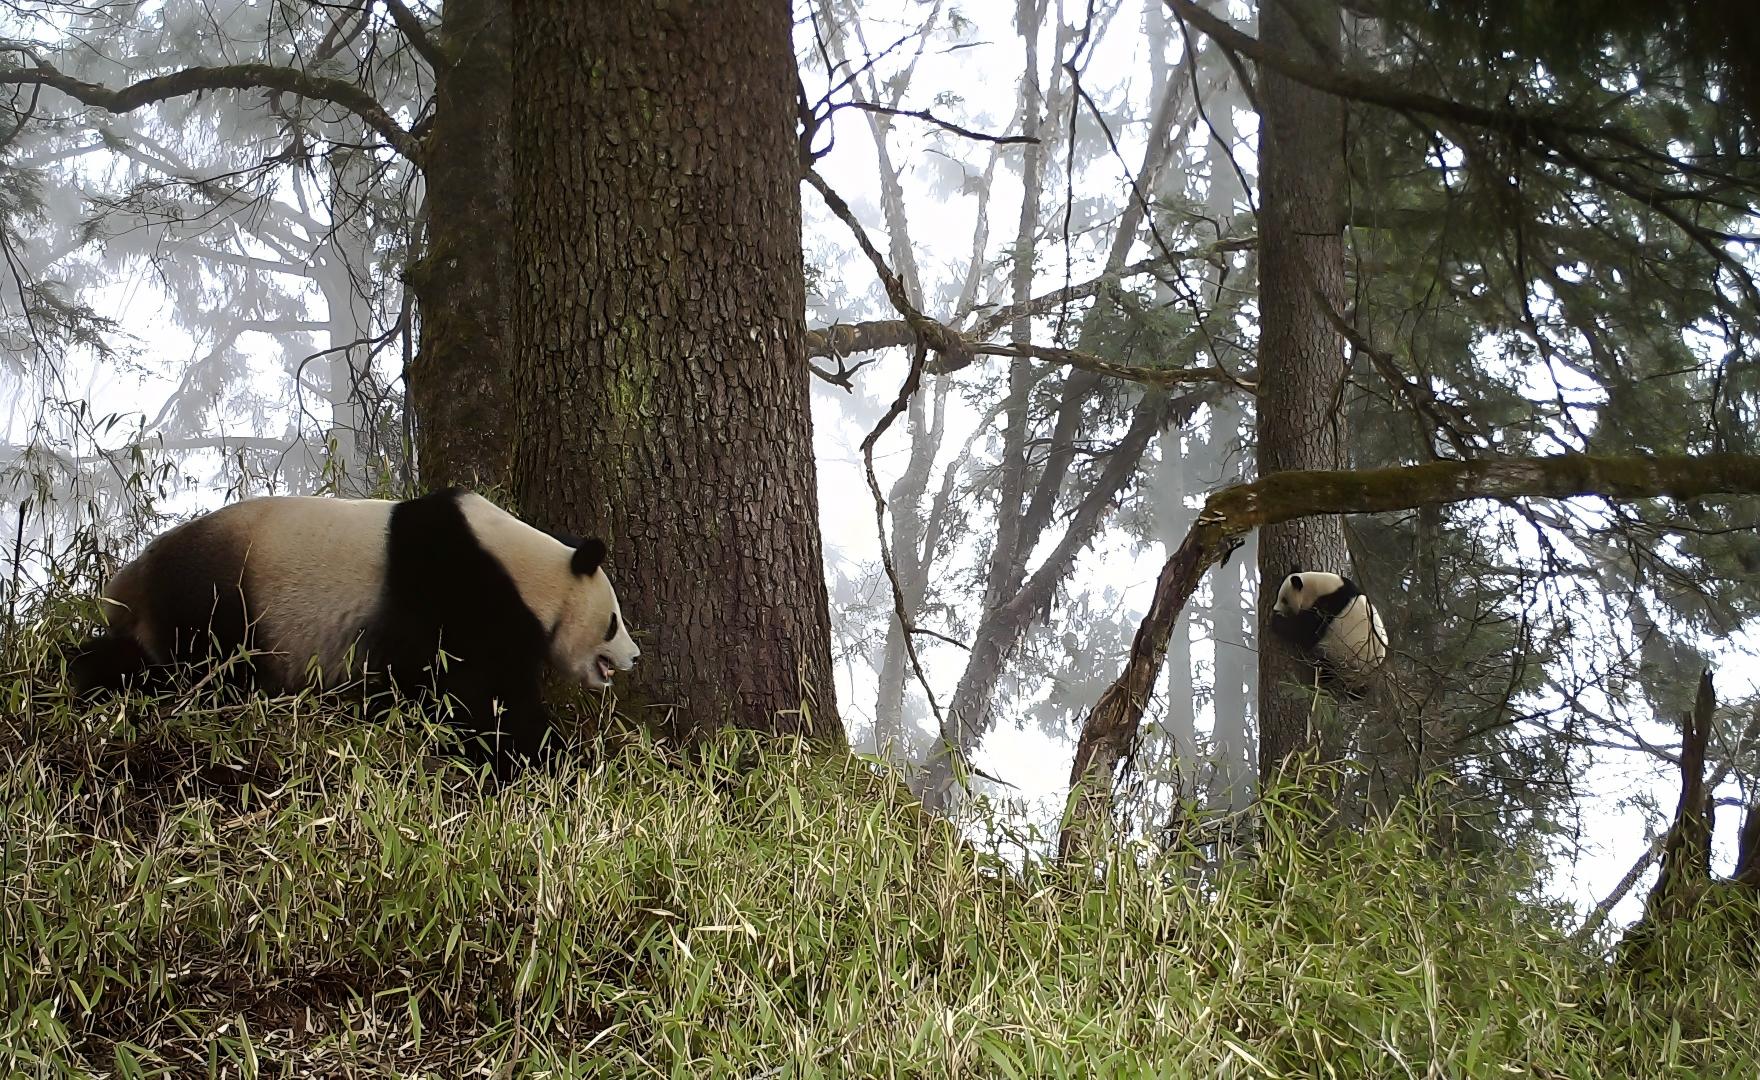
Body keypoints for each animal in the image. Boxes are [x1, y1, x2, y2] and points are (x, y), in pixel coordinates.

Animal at [67, 487, 641, 777]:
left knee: (130, 660)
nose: (634, 657)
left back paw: (86, 679)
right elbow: (475, 696)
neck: (525, 567)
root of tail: (126, 586)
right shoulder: (454, 591)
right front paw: (557, 760)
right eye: (613, 621)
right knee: (203, 668)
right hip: (218, 600)